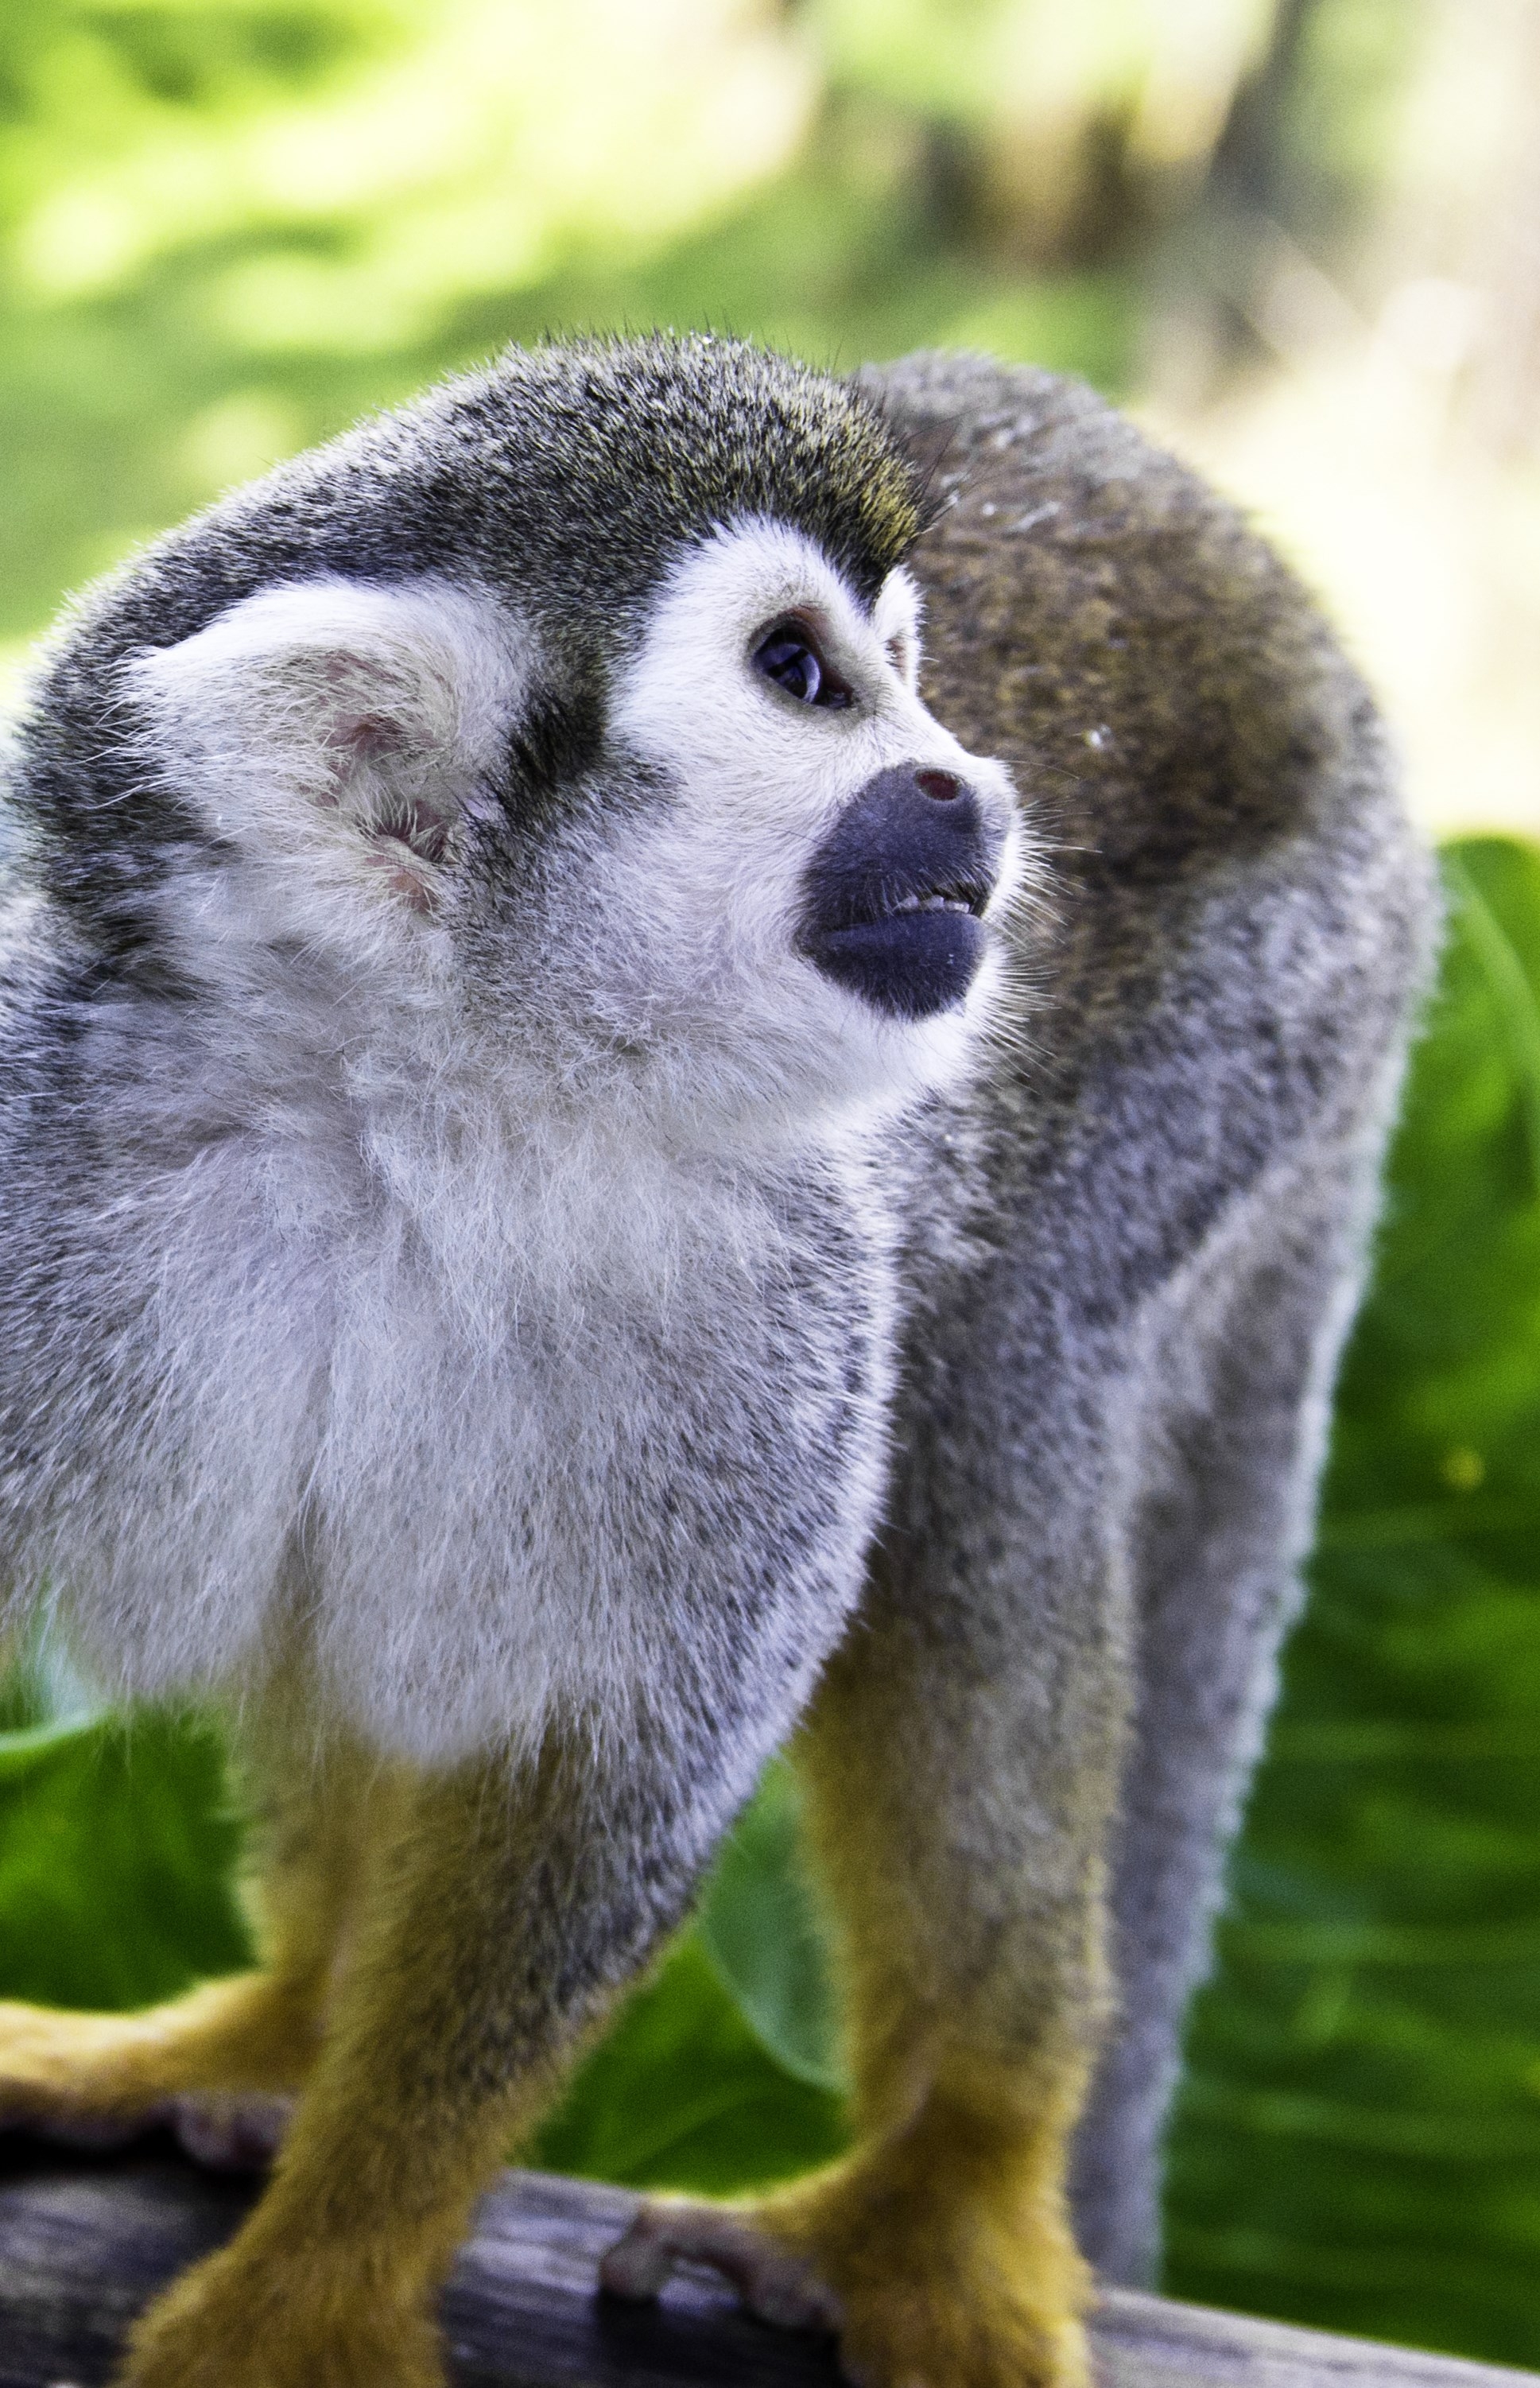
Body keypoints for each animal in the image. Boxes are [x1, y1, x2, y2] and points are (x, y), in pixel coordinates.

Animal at [0, 334, 1433, 2388]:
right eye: (800, 678)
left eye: (897, 666)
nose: (966, 781)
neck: (409, 1103)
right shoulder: (45, 1102)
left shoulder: (775, 1286)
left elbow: (612, 1762)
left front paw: (321, 2282)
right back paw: (290, 2018)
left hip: (1256, 1023)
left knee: (982, 1468)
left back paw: (953, 2170)